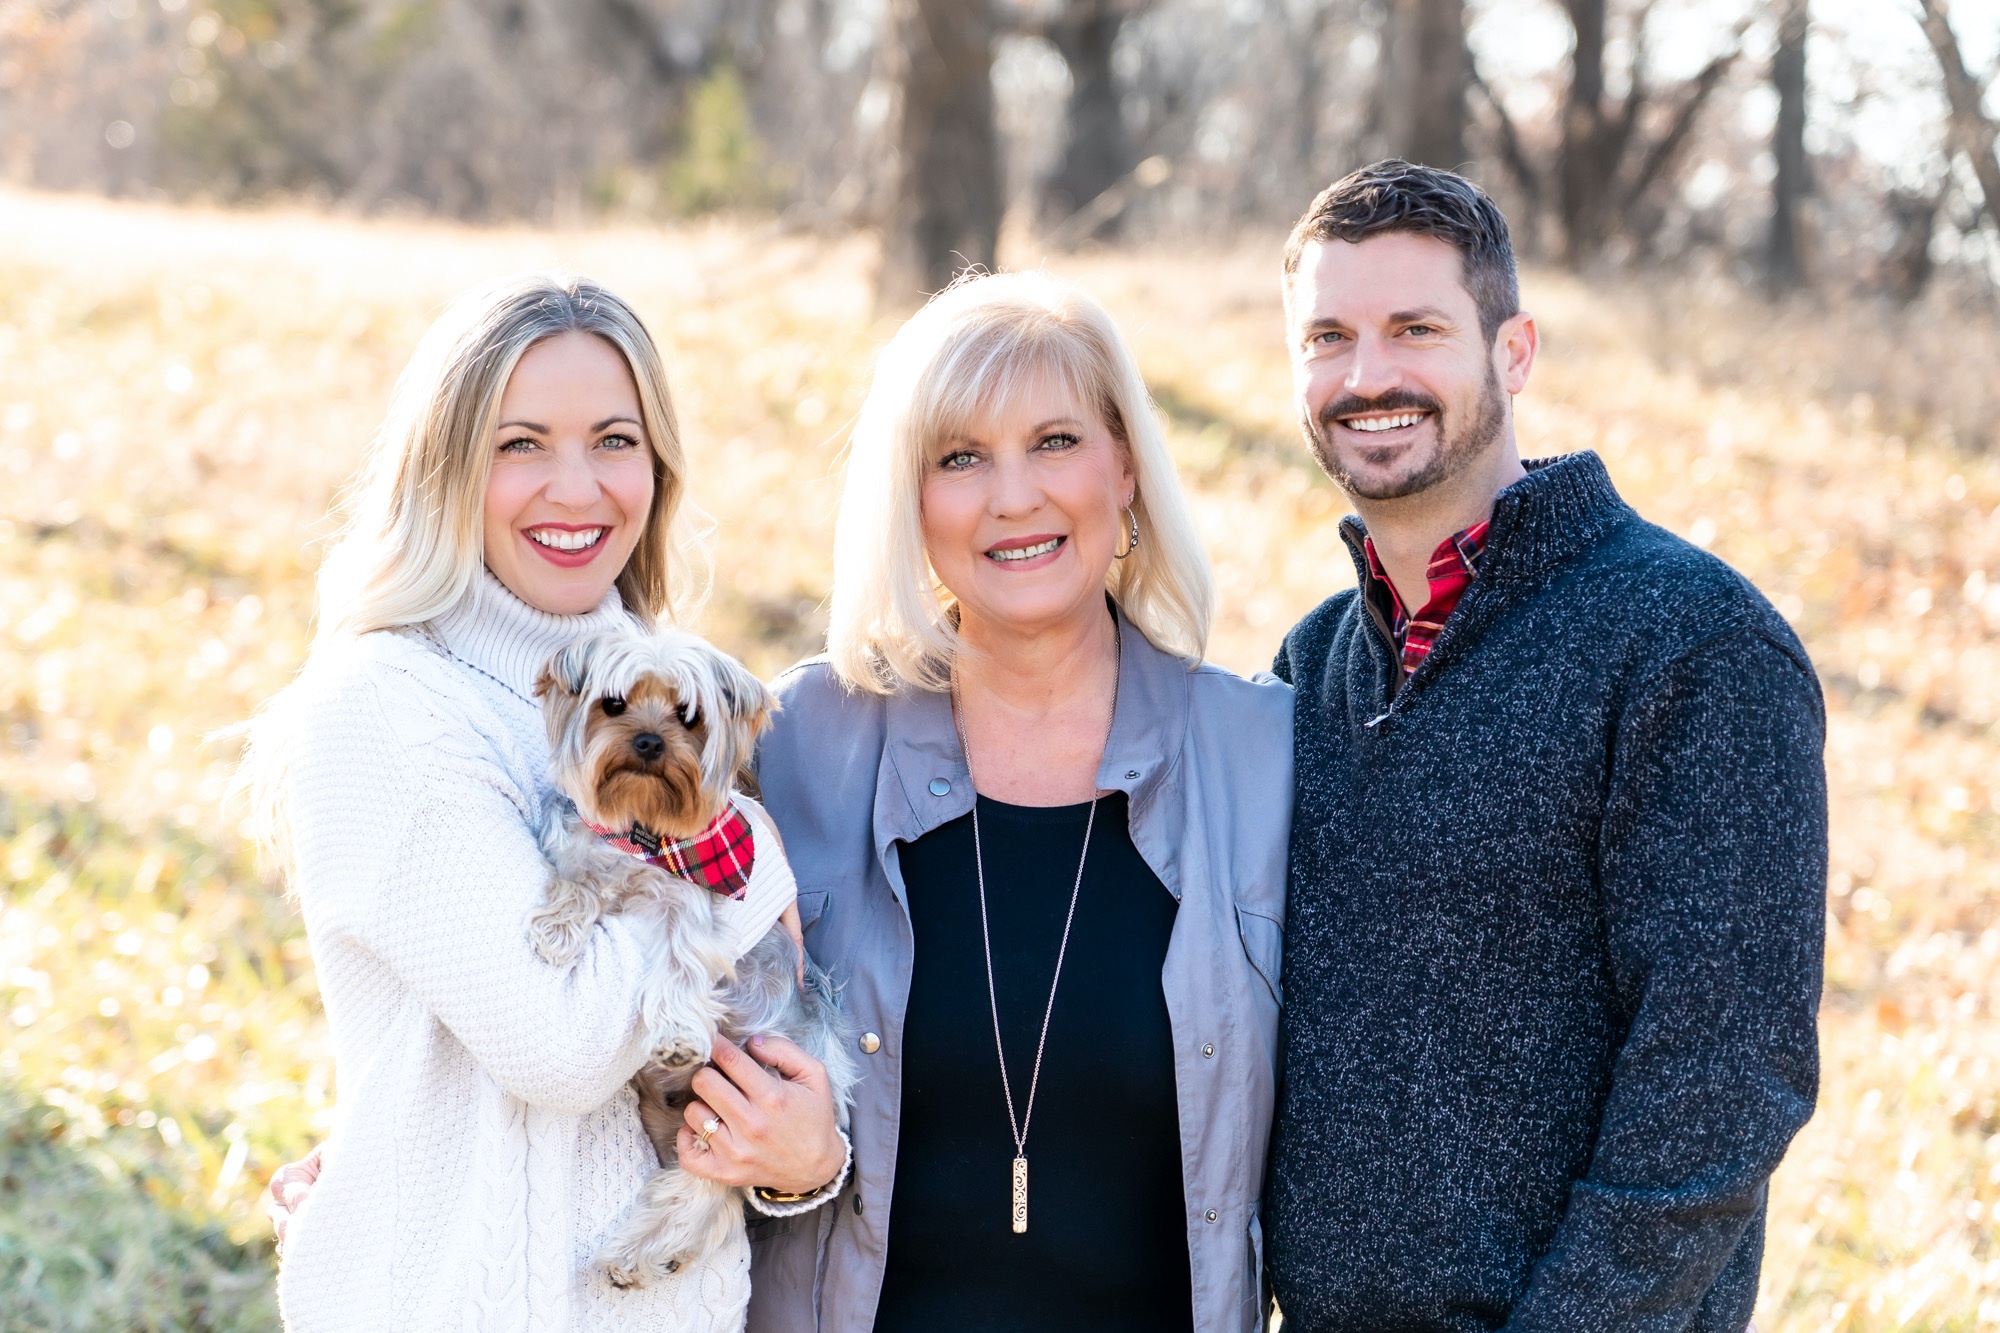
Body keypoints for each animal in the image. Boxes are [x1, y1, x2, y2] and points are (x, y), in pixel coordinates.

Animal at [528, 628, 856, 1280]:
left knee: (711, 1184)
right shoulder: (578, 846)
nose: (650, 742)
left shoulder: (693, 907)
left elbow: (680, 962)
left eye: (688, 716)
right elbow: (575, 878)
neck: (641, 831)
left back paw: (639, 1250)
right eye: (613, 704)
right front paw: (556, 928)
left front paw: (677, 1035)